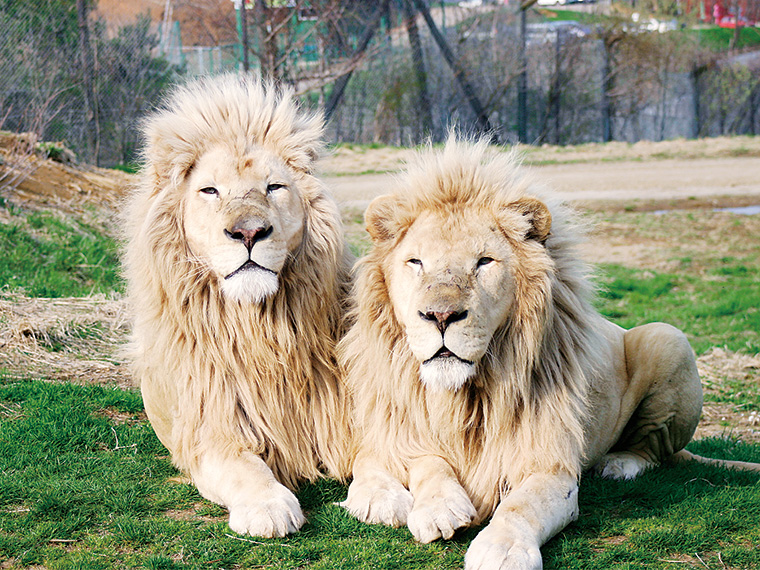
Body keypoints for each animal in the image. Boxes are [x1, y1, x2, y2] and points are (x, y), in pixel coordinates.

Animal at [124, 75, 354, 536]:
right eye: (209, 191)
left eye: (274, 187)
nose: (249, 232)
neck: (257, 327)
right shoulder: (209, 432)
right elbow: (243, 469)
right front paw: (269, 506)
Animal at [338, 136, 760, 568]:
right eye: (416, 262)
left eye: (484, 262)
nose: (440, 316)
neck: (463, 397)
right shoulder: (403, 435)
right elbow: (428, 463)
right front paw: (439, 507)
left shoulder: (550, 464)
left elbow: (522, 505)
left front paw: (501, 549)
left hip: (668, 338)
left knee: (654, 450)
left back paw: (618, 464)